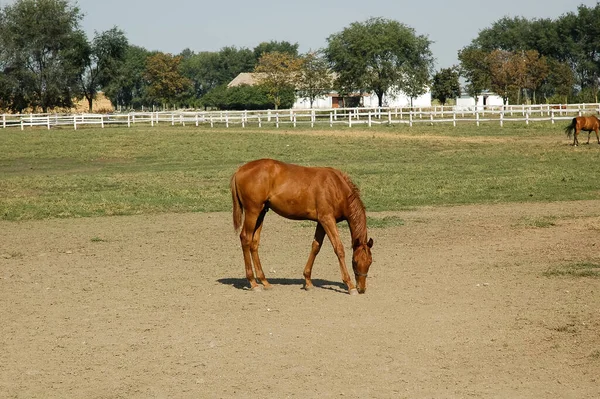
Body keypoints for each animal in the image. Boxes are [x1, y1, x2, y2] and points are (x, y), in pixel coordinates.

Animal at [229, 158, 370, 296]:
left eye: (369, 262)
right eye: (355, 262)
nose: (361, 289)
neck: (336, 186)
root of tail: (240, 170)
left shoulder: (321, 222)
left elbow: (315, 247)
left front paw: (308, 281)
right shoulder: (327, 219)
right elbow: (339, 248)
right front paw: (350, 285)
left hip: (261, 212)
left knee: (254, 243)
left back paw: (264, 281)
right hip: (253, 211)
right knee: (246, 238)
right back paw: (253, 282)